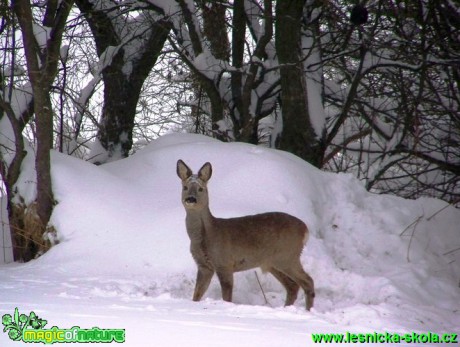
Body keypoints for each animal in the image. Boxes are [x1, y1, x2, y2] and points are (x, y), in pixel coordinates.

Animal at [177, 160, 316, 310]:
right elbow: (196, 295)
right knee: (293, 285)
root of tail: (305, 229)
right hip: (274, 262)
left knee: (308, 281)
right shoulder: (204, 266)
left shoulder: (225, 263)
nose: (191, 199)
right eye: (185, 187)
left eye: (201, 189)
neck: (206, 237)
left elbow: (227, 295)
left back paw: (308, 311)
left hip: (288, 256)